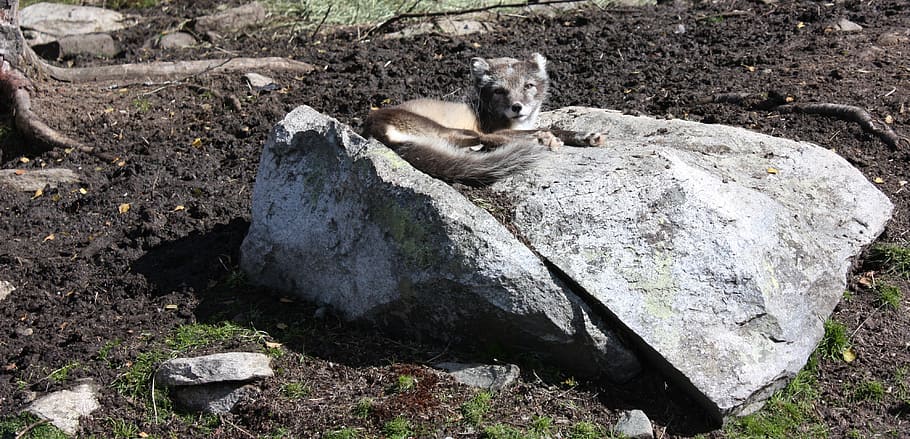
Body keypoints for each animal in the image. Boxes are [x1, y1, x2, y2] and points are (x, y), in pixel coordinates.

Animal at [363, 53, 605, 186]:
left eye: (528, 86)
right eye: (499, 91)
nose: (517, 107)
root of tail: (373, 126)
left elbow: (558, 128)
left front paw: (585, 136)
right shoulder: (495, 130)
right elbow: (549, 127)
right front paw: (547, 136)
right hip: (457, 130)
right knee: (484, 141)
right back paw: (540, 140)